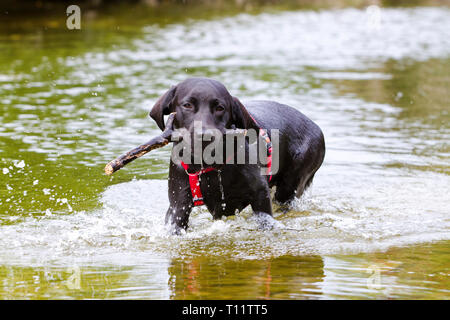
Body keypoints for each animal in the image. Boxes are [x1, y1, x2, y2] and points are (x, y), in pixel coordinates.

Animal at [150, 77, 324, 232]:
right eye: (187, 105)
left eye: (220, 108)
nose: (205, 136)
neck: (209, 165)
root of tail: (316, 127)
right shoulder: (178, 205)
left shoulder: (260, 194)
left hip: (290, 186)